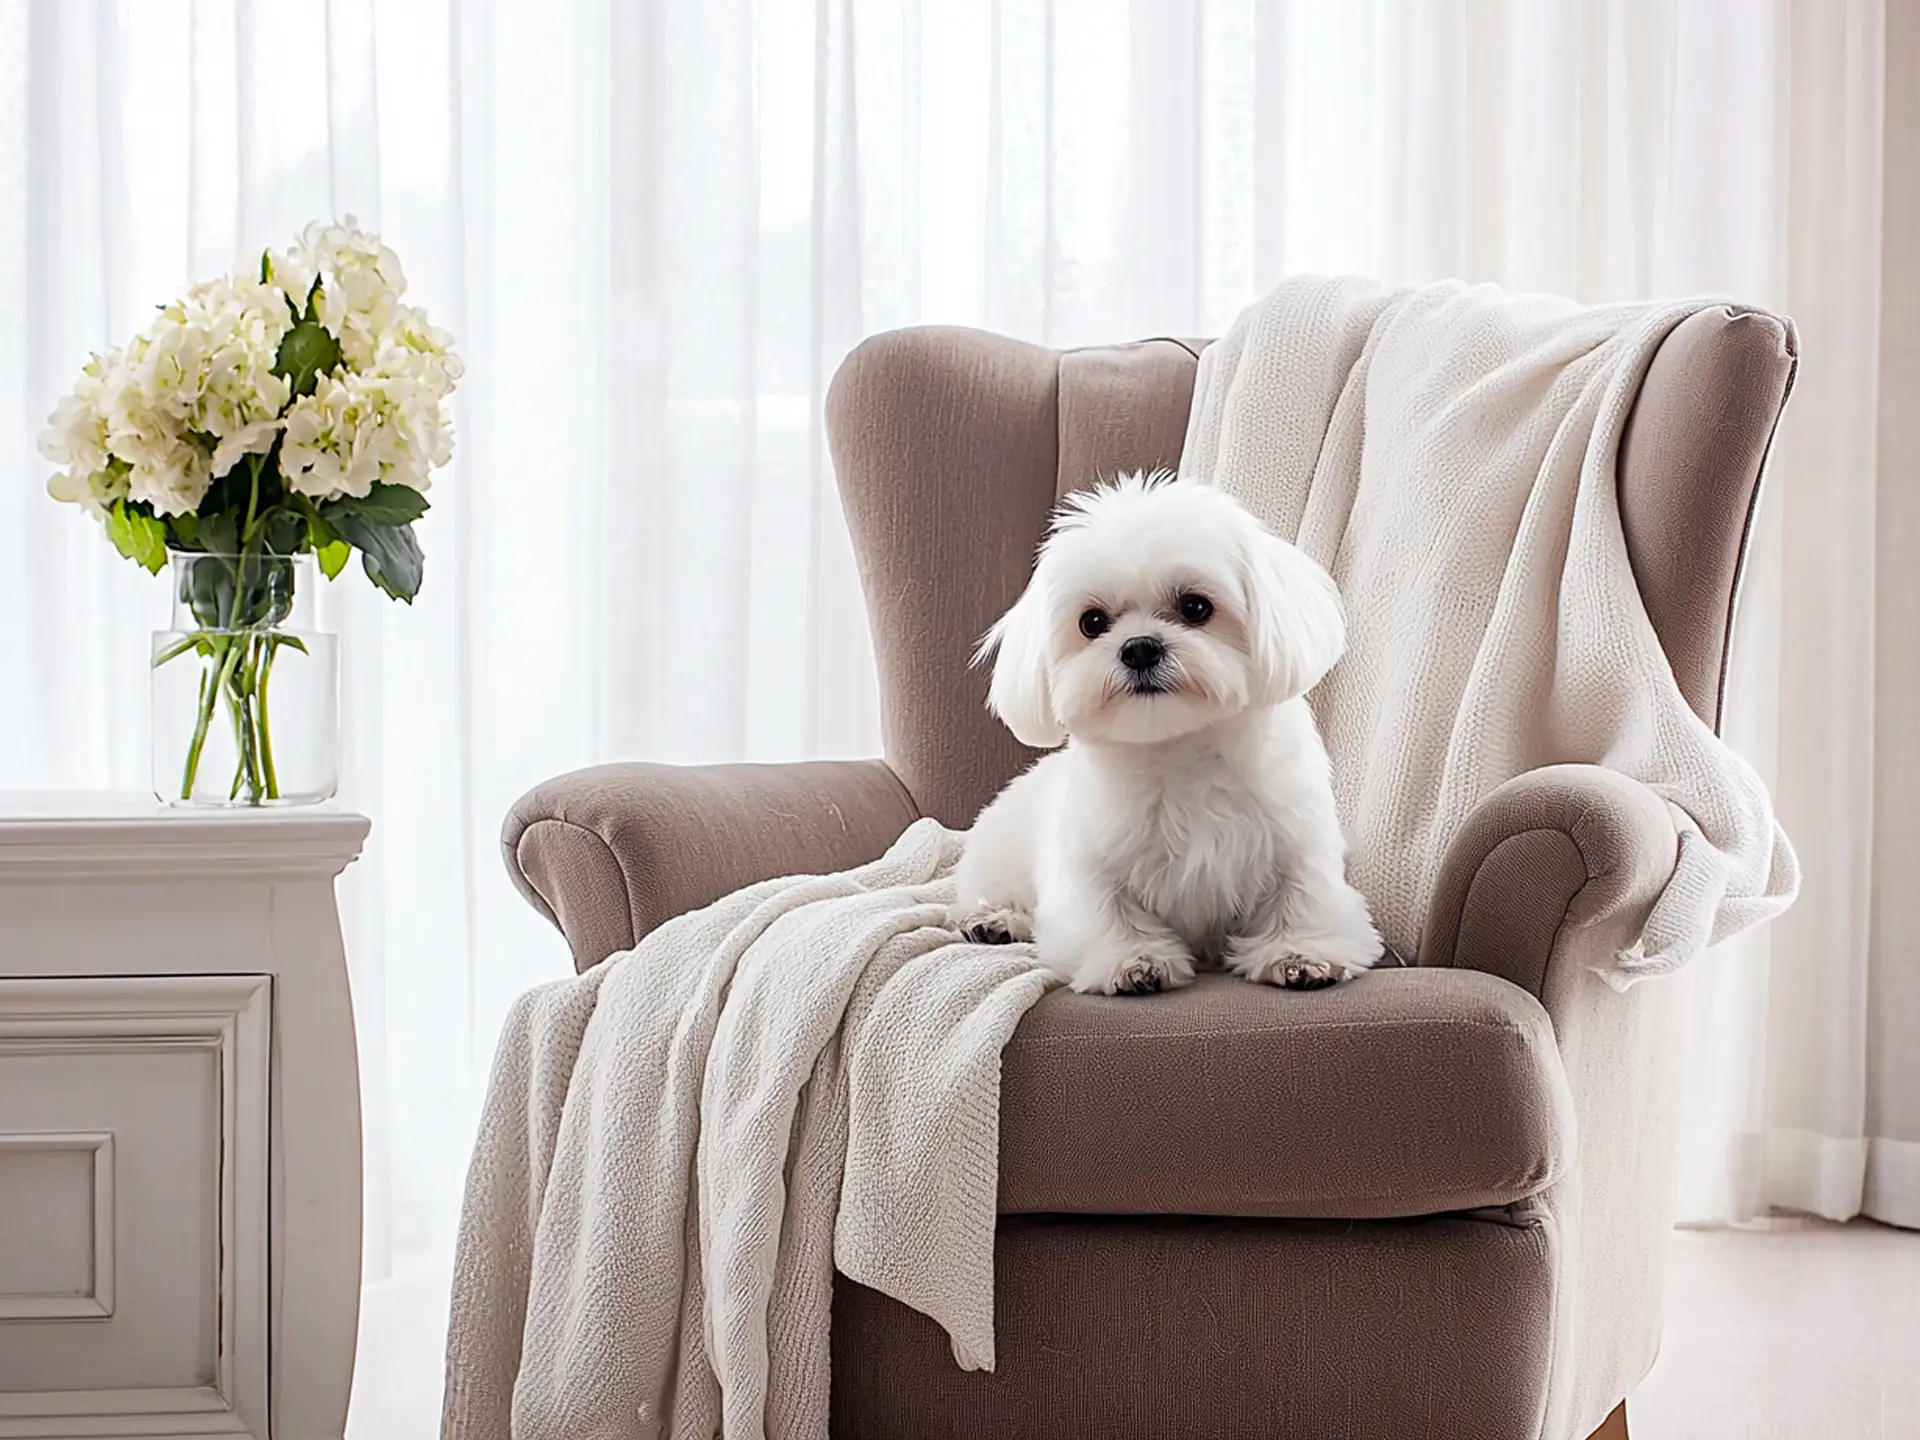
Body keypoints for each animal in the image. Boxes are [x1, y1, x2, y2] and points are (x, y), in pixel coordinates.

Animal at [956, 470, 1382, 990]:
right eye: (1092, 622)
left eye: (1196, 607)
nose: (1139, 648)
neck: (1179, 748)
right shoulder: (1091, 865)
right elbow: (1107, 911)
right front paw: (1134, 960)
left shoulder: (1296, 843)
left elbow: (1300, 897)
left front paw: (1301, 952)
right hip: (997, 857)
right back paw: (995, 920)